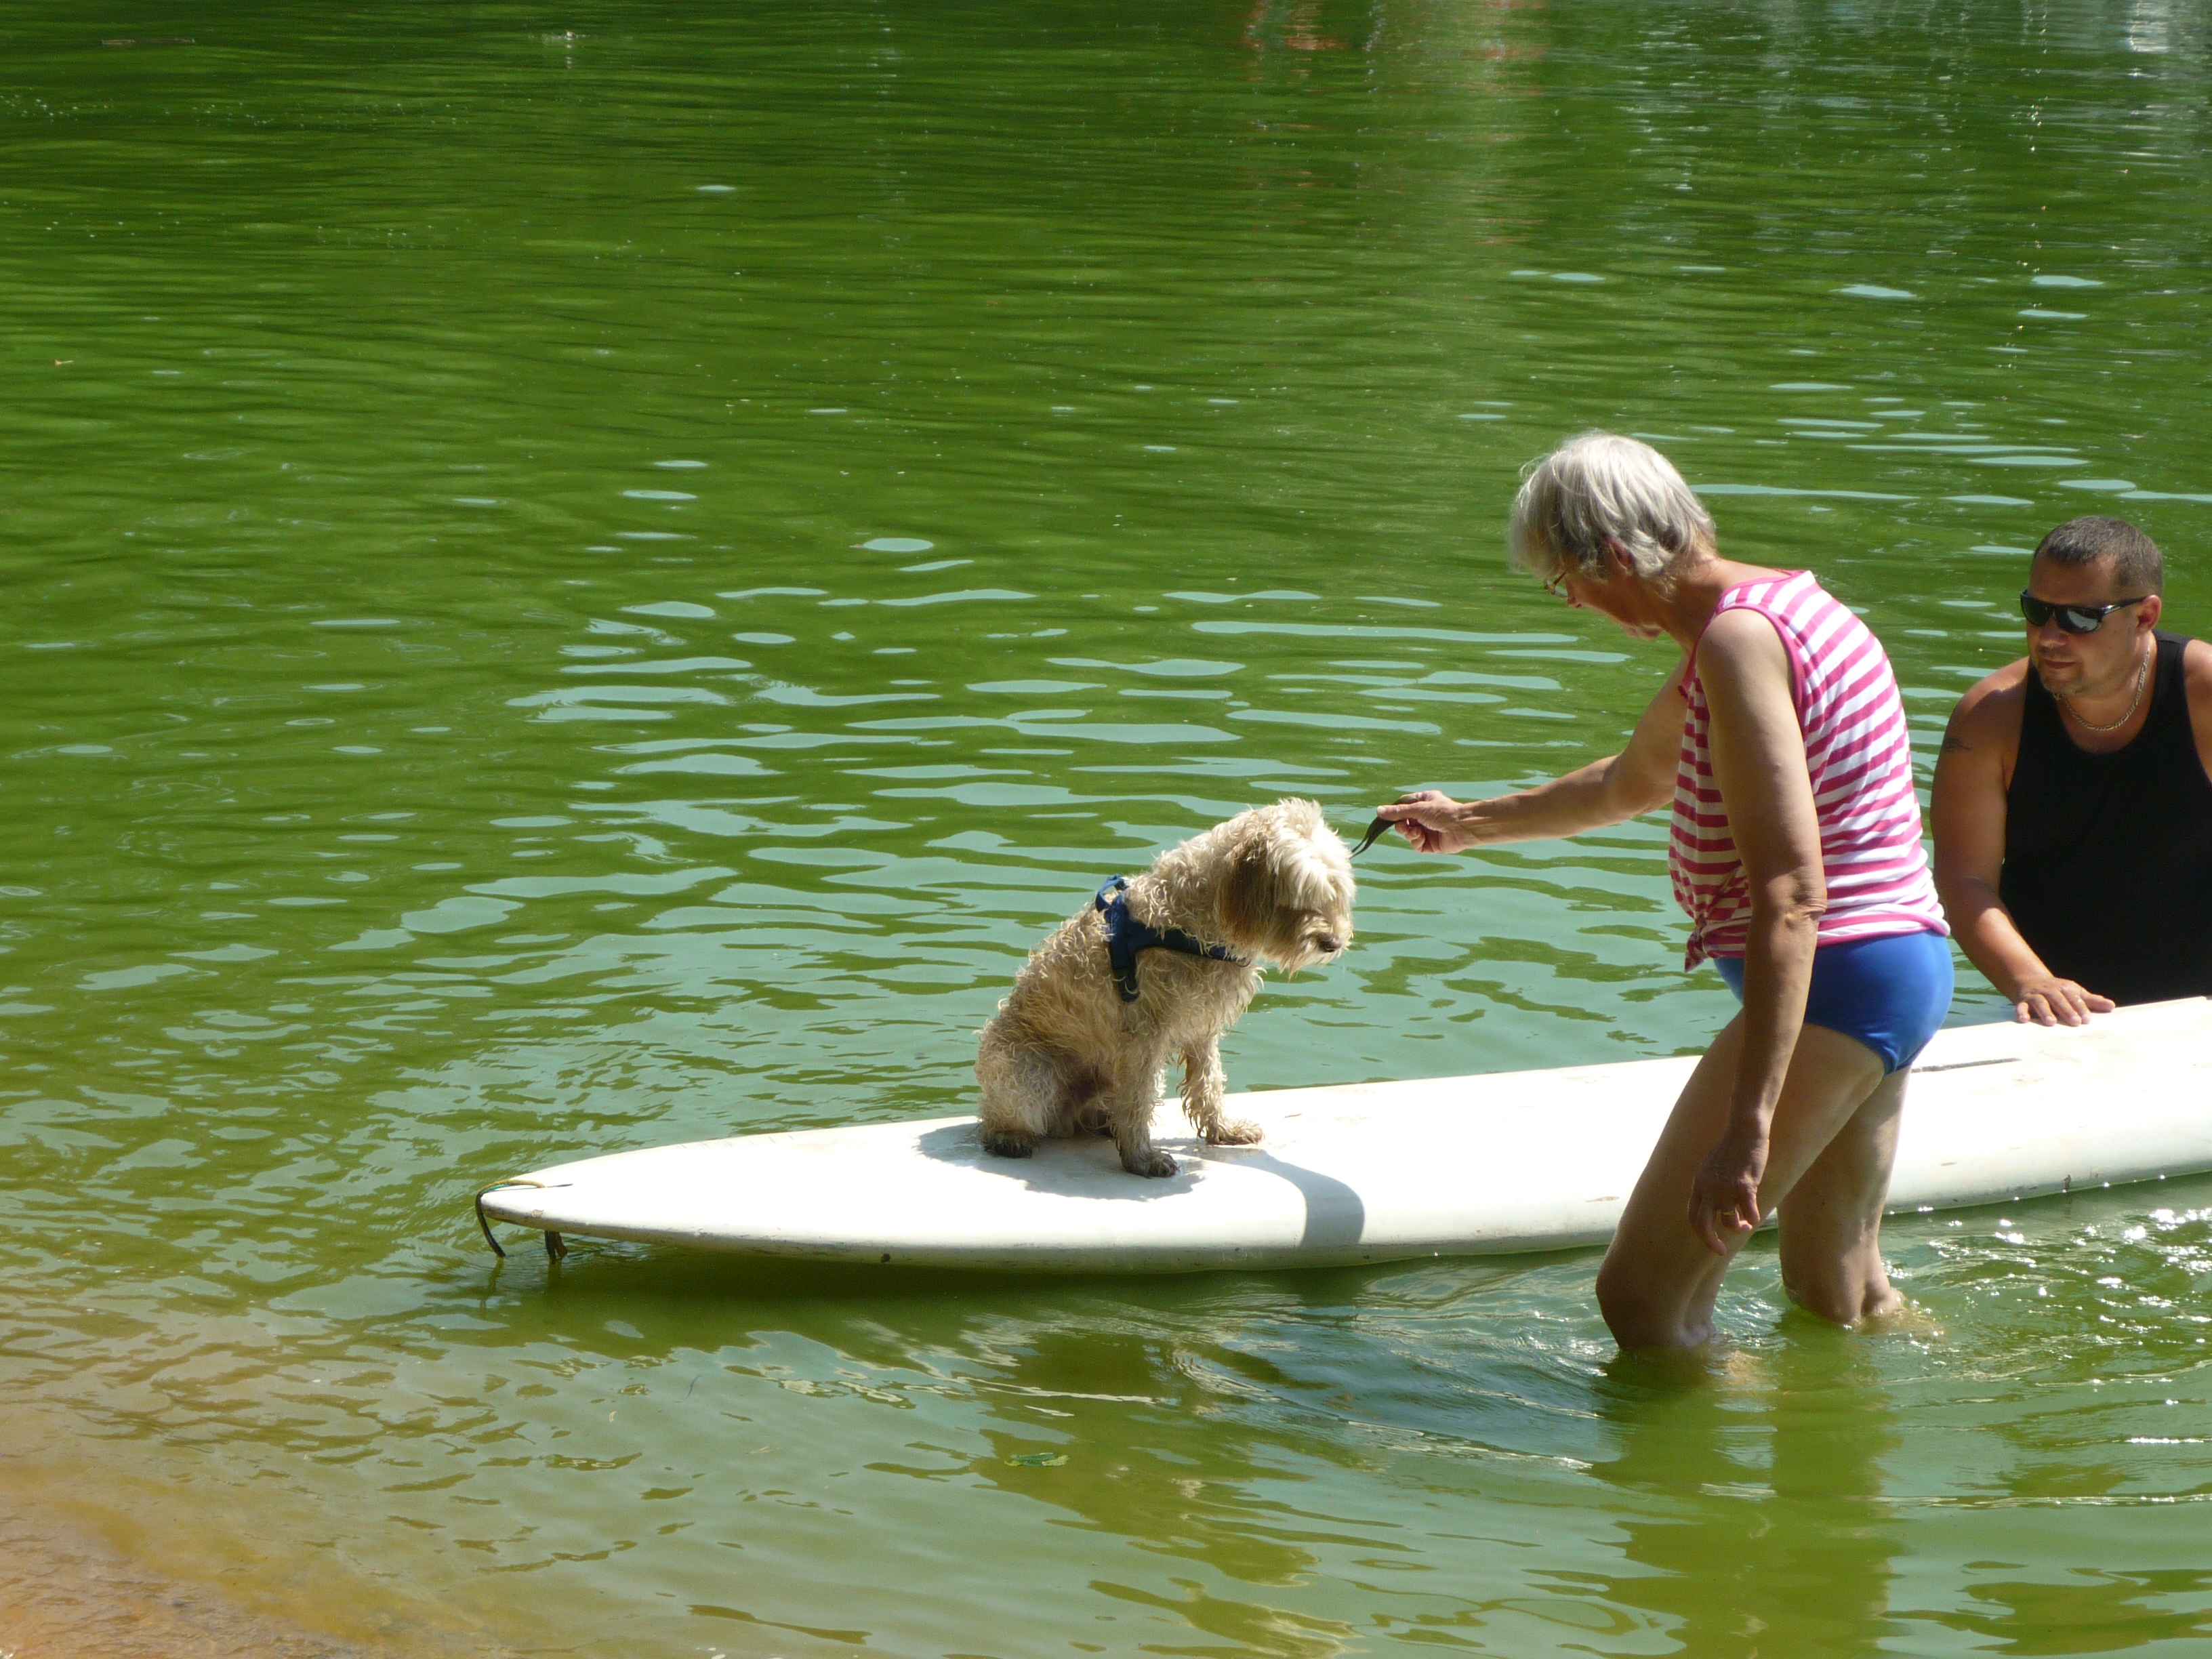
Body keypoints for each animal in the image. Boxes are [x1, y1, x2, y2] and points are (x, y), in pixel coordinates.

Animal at [982, 805, 1353, 1185]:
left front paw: (1223, 1129)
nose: (1333, 943)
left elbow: (1208, 1084)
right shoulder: (1143, 1037)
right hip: (1028, 1073)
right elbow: (1140, 1099)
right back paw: (1010, 1137)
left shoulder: (1202, 1026)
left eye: (1335, 892)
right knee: (1000, 1117)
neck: (1193, 919)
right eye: (1303, 894)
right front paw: (1142, 1158)